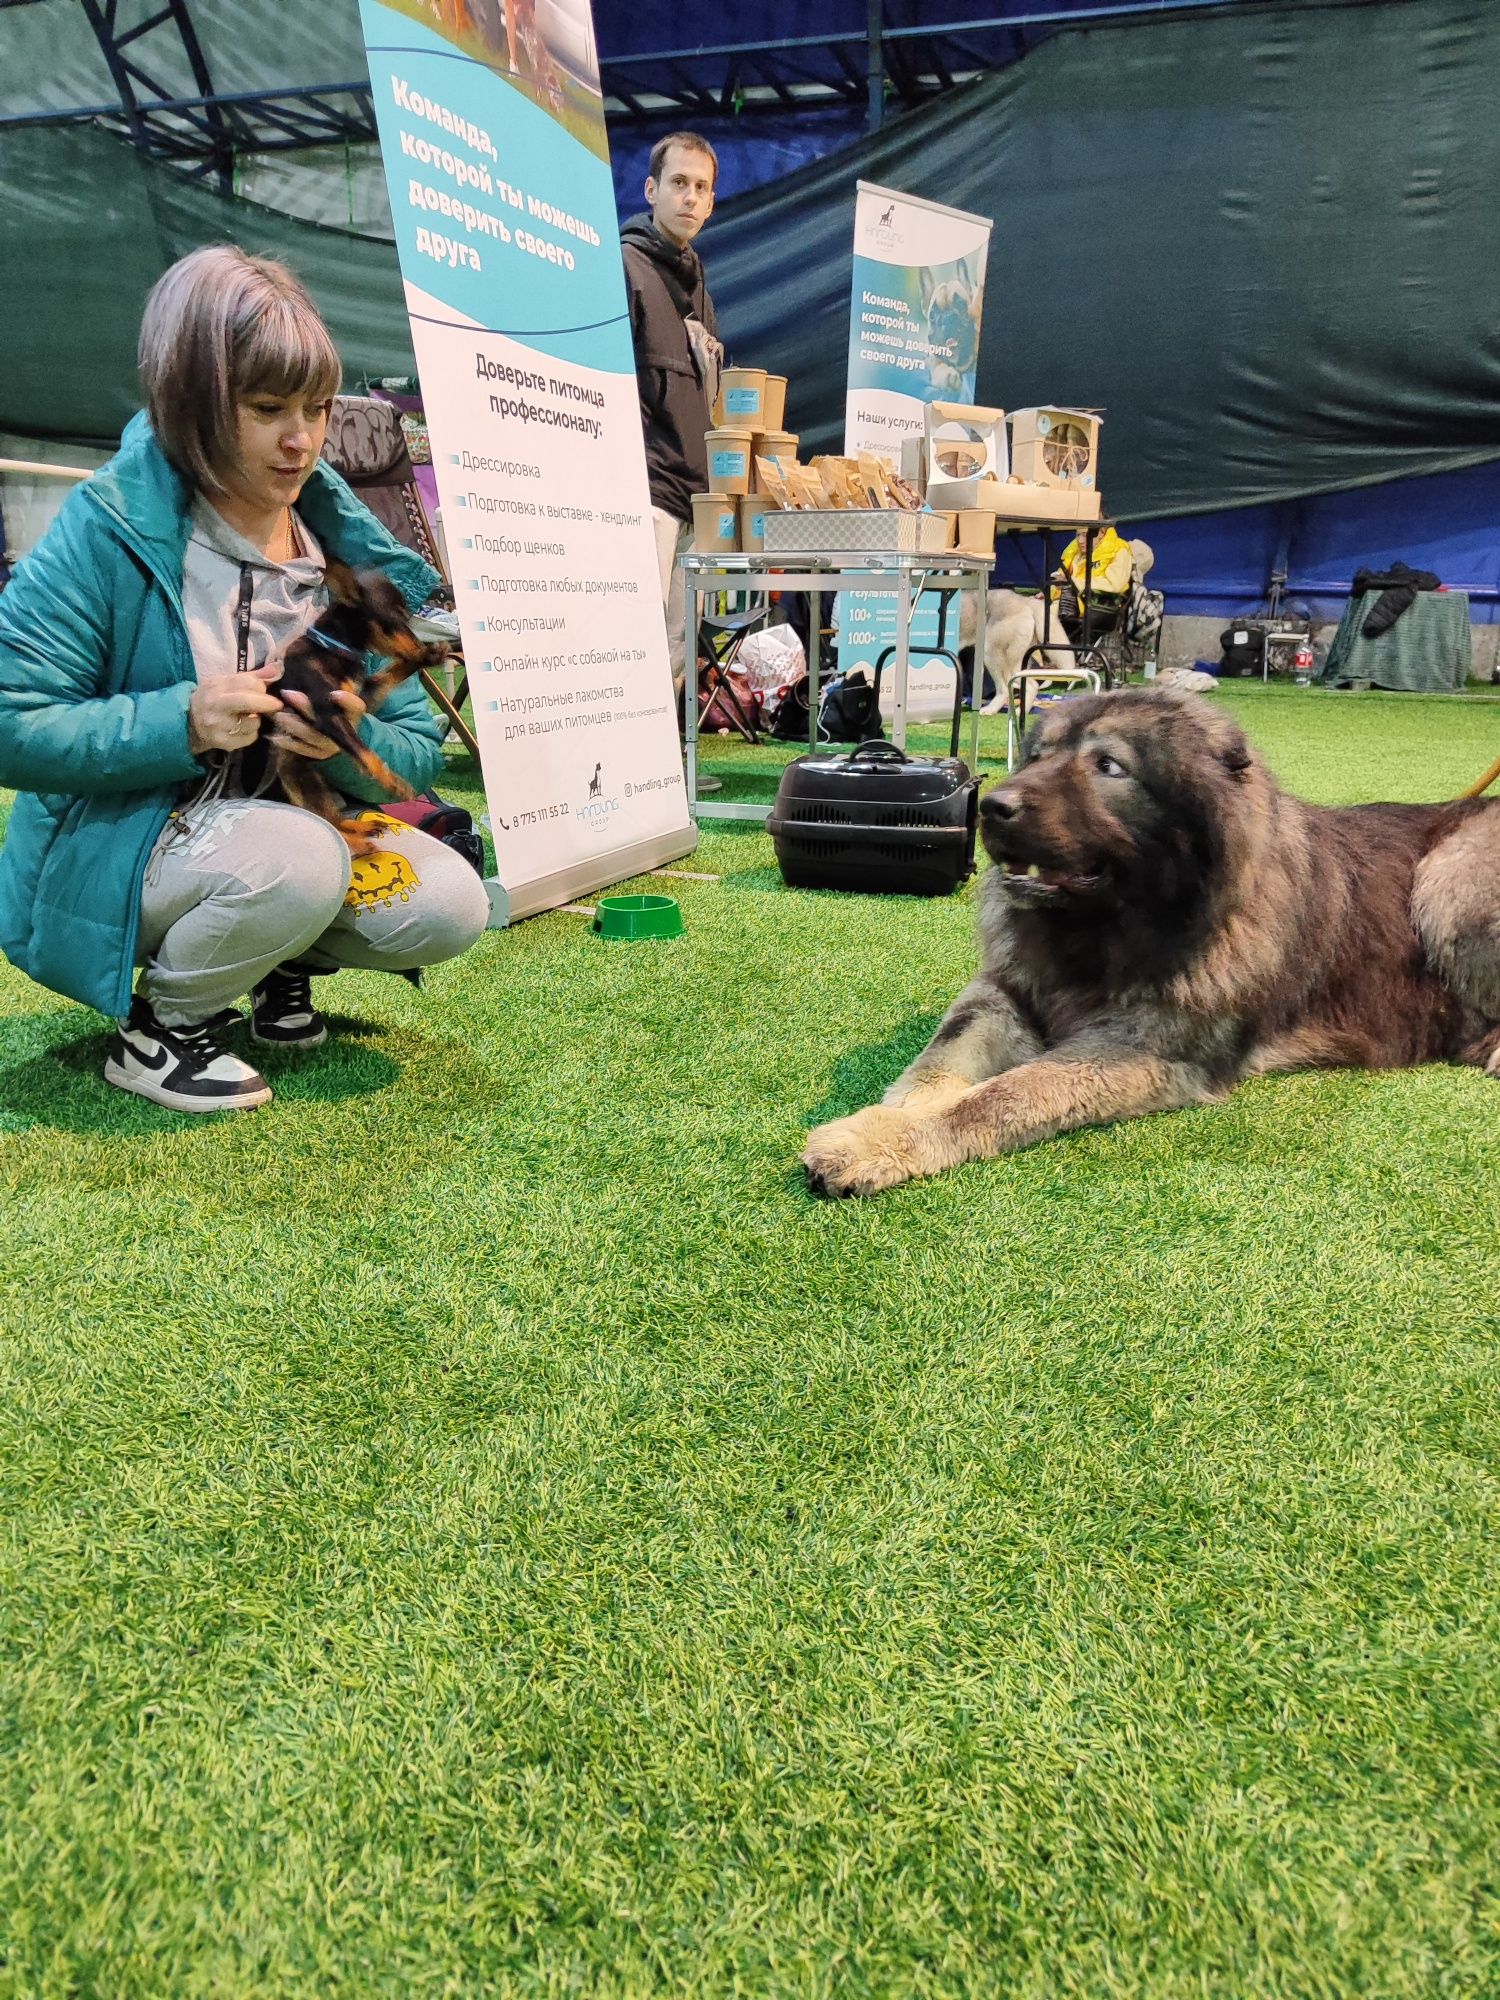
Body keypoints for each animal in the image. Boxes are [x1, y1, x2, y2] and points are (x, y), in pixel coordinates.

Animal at [262, 560, 450, 856]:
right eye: (398, 619)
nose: (421, 644)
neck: (331, 648)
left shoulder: (362, 699)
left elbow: (392, 673)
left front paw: (428, 655)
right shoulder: (328, 713)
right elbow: (363, 750)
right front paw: (392, 781)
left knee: (334, 820)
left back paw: (363, 828)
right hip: (293, 782)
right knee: (330, 827)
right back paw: (360, 844)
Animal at [804, 688, 1500, 1192]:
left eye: (1108, 767)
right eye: (1038, 756)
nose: (990, 806)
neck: (1106, 930)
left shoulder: (1146, 1049)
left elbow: (1001, 1096)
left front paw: (881, 1143)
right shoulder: (1004, 994)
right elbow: (935, 1069)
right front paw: (881, 1125)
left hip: (1447, 881)